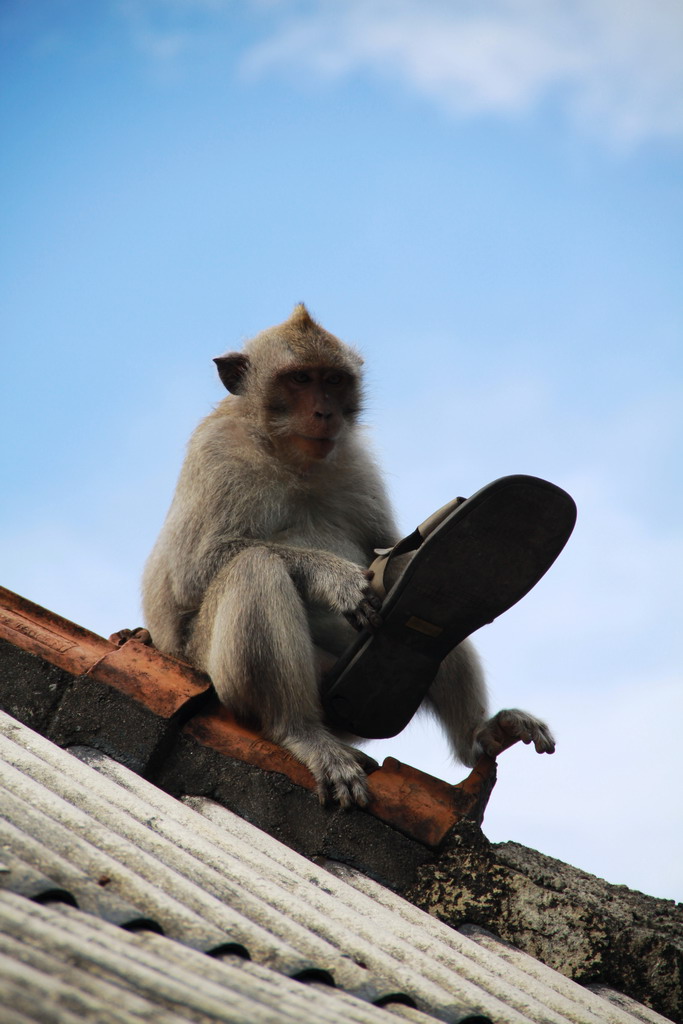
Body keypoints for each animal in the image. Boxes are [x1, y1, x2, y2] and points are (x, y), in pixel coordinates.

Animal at [141, 305, 552, 806]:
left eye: (333, 380)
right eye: (299, 378)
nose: (324, 411)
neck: (289, 457)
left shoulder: (357, 461)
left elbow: (391, 547)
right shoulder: (218, 453)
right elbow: (193, 571)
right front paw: (333, 577)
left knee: (425, 609)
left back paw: (482, 732)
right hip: (214, 668)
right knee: (254, 569)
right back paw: (298, 730)